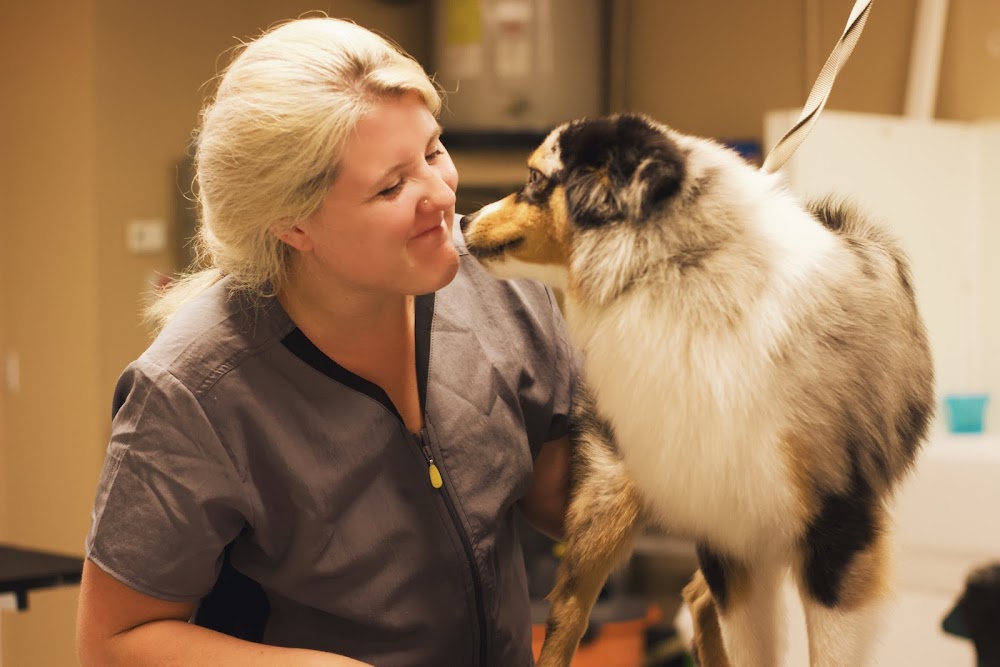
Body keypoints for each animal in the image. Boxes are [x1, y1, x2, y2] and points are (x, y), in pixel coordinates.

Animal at [460, 112, 936, 664]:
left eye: (536, 178)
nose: (463, 220)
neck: (681, 276)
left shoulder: (840, 531)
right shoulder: (723, 524)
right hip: (609, 500)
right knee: (573, 614)